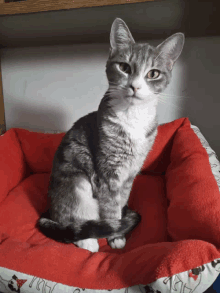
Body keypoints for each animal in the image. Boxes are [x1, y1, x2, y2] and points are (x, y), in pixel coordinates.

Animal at [37, 17, 184, 251]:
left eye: (153, 73)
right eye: (124, 67)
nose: (135, 86)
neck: (132, 116)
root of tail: (49, 210)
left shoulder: (129, 174)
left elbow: (121, 201)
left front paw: (119, 227)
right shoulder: (108, 174)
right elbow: (111, 207)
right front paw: (115, 235)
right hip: (76, 184)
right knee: (71, 219)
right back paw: (87, 240)